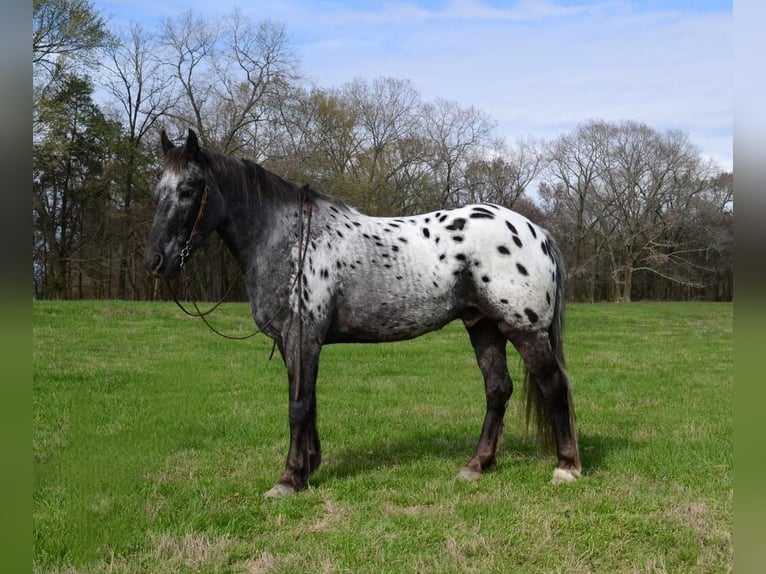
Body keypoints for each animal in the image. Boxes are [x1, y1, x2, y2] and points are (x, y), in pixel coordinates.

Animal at [146, 128, 584, 498]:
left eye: (189, 189)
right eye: (158, 190)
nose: (156, 260)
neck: (290, 239)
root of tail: (537, 232)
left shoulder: (302, 337)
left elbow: (297, 406)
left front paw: (288, 479)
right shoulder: (295, 344)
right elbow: (307, 400)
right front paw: (309, 466)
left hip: (523, 329)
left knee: (554, 384)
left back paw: (566, 468)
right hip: (483, 325)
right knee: (498, 389)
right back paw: (477, 465)